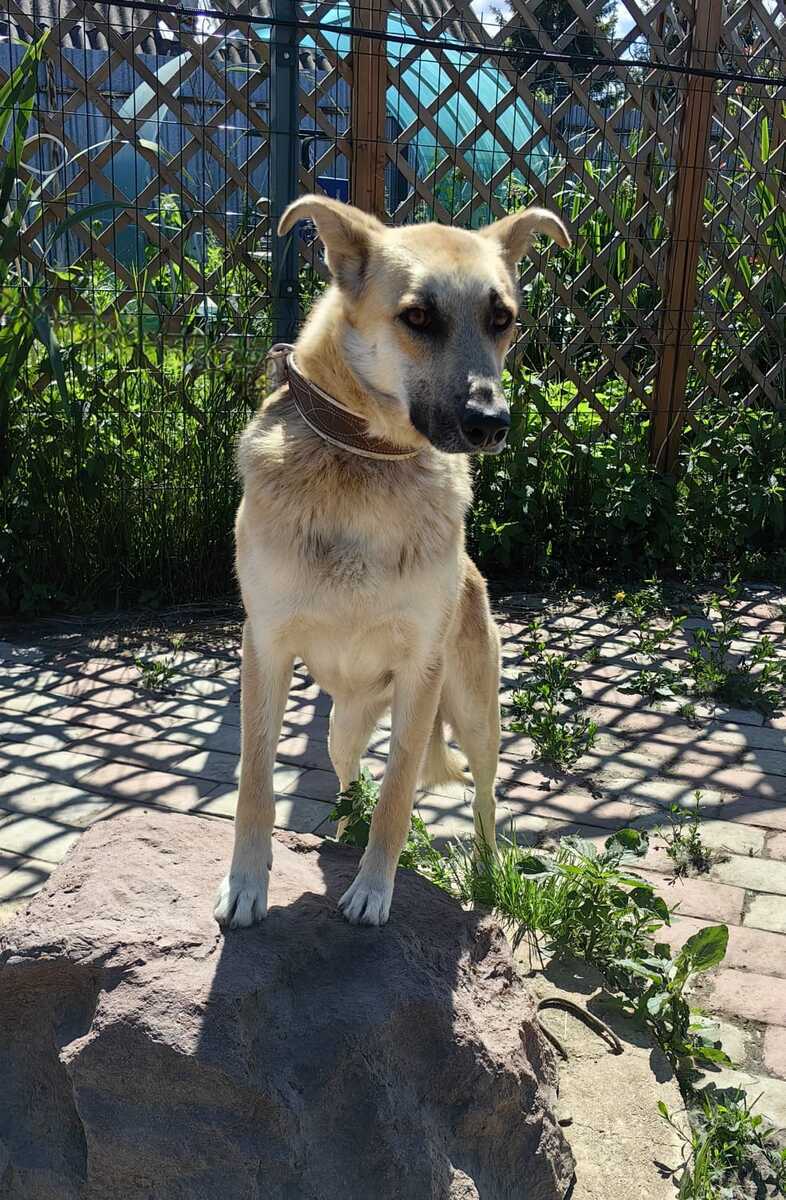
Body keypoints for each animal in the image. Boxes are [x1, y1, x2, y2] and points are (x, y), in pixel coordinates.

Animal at [213, 199, 571, 926]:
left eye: (502, 318)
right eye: (418, 317)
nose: (492, 422)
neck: (367, 457)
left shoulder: (421, 670)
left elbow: (400, 789)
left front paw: (375, 889)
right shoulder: (264, 651)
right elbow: (256, 782)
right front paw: (247, 884)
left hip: (475, 713)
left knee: (487, 797)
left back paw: (484, 873)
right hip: (340, 726)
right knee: (350, 773)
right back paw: (342, 826)